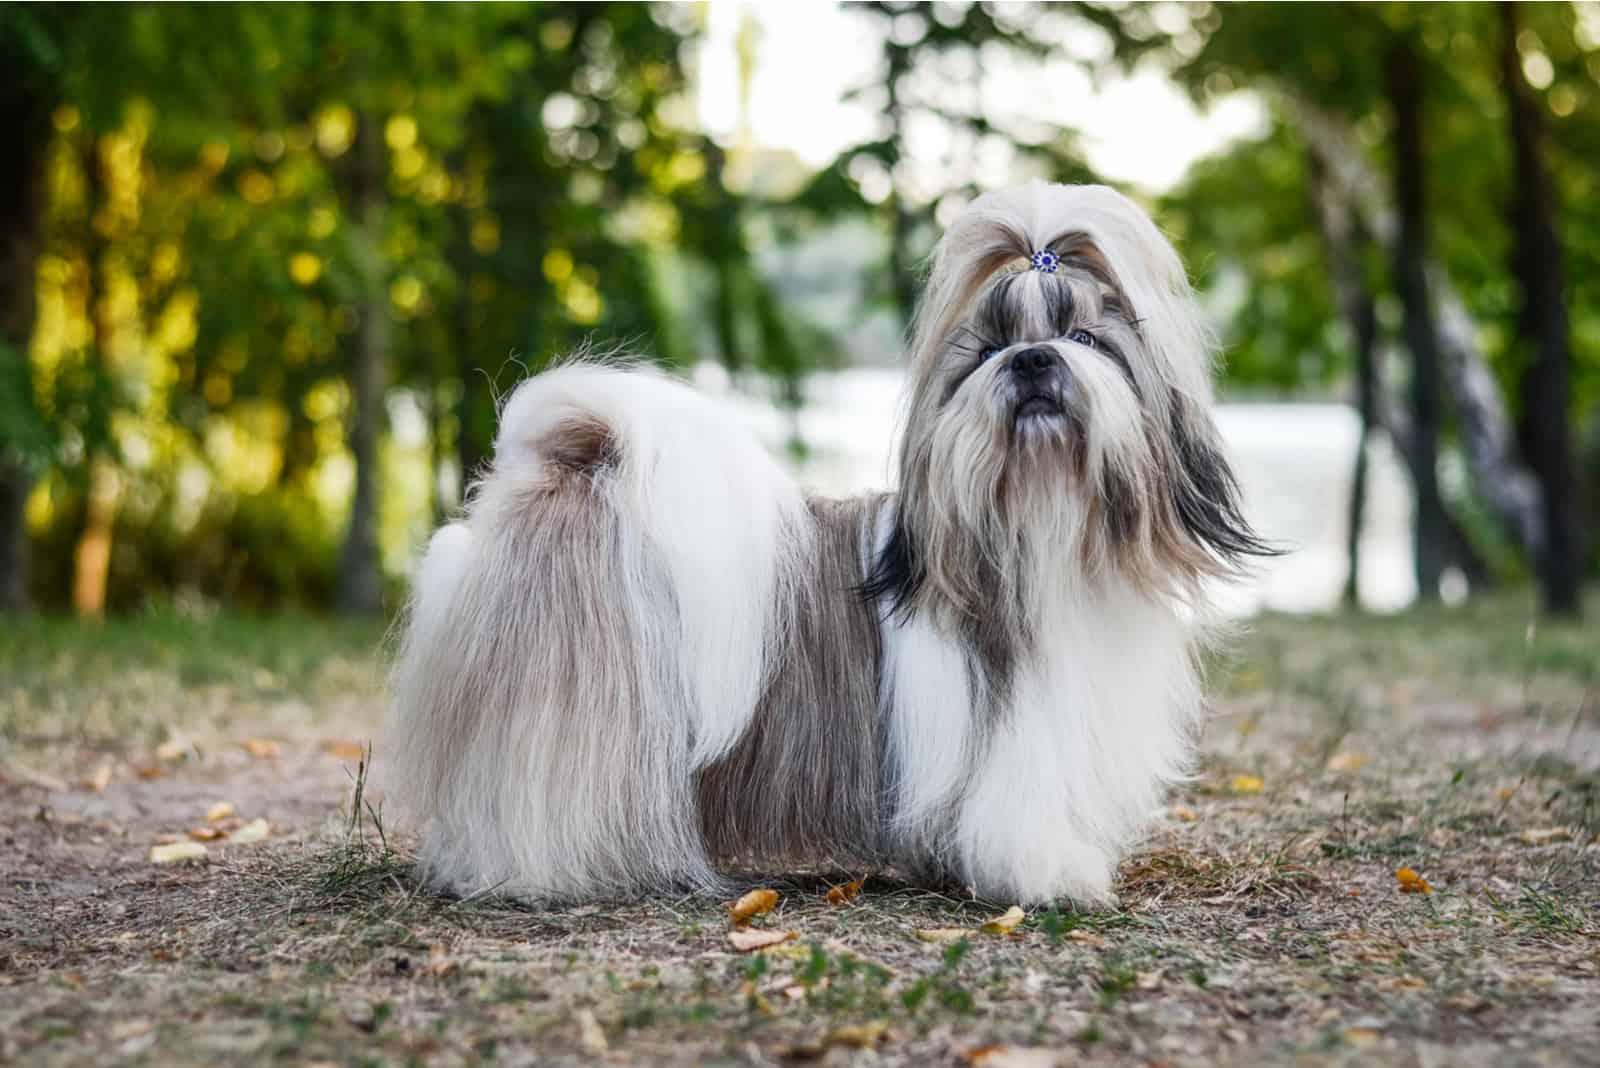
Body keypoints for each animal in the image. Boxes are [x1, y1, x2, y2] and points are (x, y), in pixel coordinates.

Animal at [380, 179, 1267, 908]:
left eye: (1084, 338)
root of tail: (546, 480)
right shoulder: (1022, 750)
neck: (1042, 528)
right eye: (986, 353)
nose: (1031, 360)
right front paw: (1054, 878)